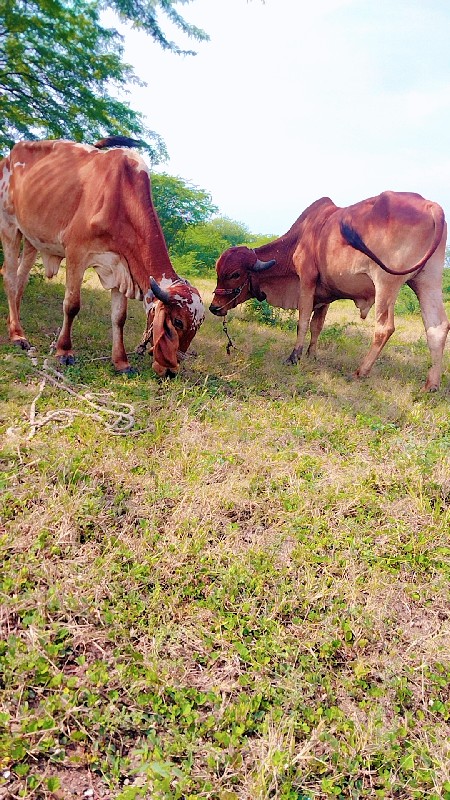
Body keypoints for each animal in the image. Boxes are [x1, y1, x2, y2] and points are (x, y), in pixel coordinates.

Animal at [0, 136, 205, 376]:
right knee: (10, 277)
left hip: (32, 240)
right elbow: (72, 305)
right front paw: (64, 351)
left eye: (197, 327)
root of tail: (8, 157)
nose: (172, 371)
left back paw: (14, 325)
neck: (121, 198)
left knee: (21, 280)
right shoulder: (76, 253)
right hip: (9, 226)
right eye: (178, 322)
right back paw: (17, 336)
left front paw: (122, 362)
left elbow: (119, 317)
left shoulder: (121, 267)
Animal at [209, 194, 448, 394]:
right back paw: (431, 385)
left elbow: (303, 321)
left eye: (235, 274)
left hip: (386, 282)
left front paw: (294, 356)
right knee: (437, 327)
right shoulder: (324, 296)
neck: (301, 237)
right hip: (427, 281)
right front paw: (311, 355)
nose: (214, 307)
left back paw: (361, 371)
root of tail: (431, 206)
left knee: (384, 328)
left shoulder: (306, 280)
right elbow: (317, 325)